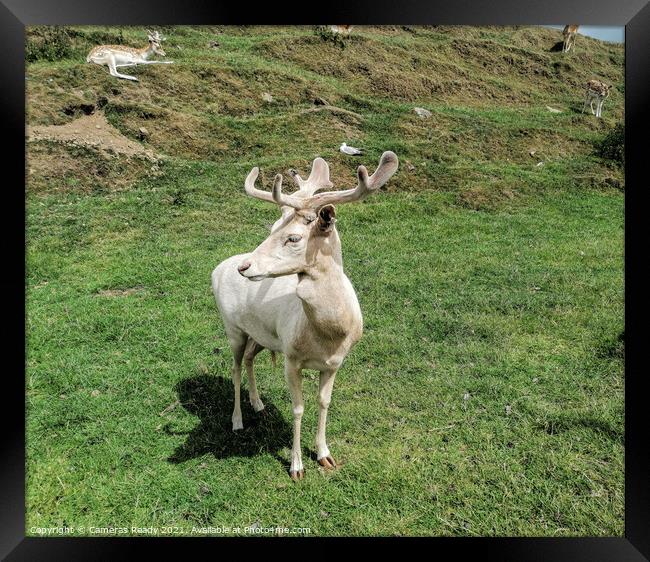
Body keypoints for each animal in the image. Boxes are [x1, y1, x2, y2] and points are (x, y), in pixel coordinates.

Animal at [210, 151, 398, 480]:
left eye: (293, 238)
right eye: (273, 228)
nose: (244, 267)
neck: (329, 336)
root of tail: (216, 268)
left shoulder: (335, 363)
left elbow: (324, 402)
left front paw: (325, 455)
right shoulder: (291, 358)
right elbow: (297, 408)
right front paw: (296, 466)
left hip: (262, 335)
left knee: (249, 359)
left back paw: (257, 403)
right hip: (232, 328)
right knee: (234, 367)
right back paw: (237, 420)